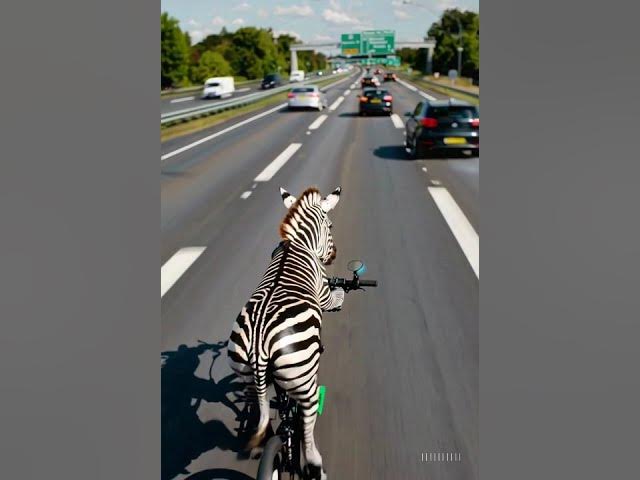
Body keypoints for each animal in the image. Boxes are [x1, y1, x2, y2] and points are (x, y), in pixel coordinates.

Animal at [227, 186, 345, 479]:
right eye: (331, 225)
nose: (334, 255)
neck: (297, 243)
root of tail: (258, 345)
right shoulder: (323, 290)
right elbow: (332, 299)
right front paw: (342, 292)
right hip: (303, 380)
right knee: (305, 424)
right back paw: (316, 466)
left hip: (246, 375)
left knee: (262, 416)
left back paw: (262, 443)